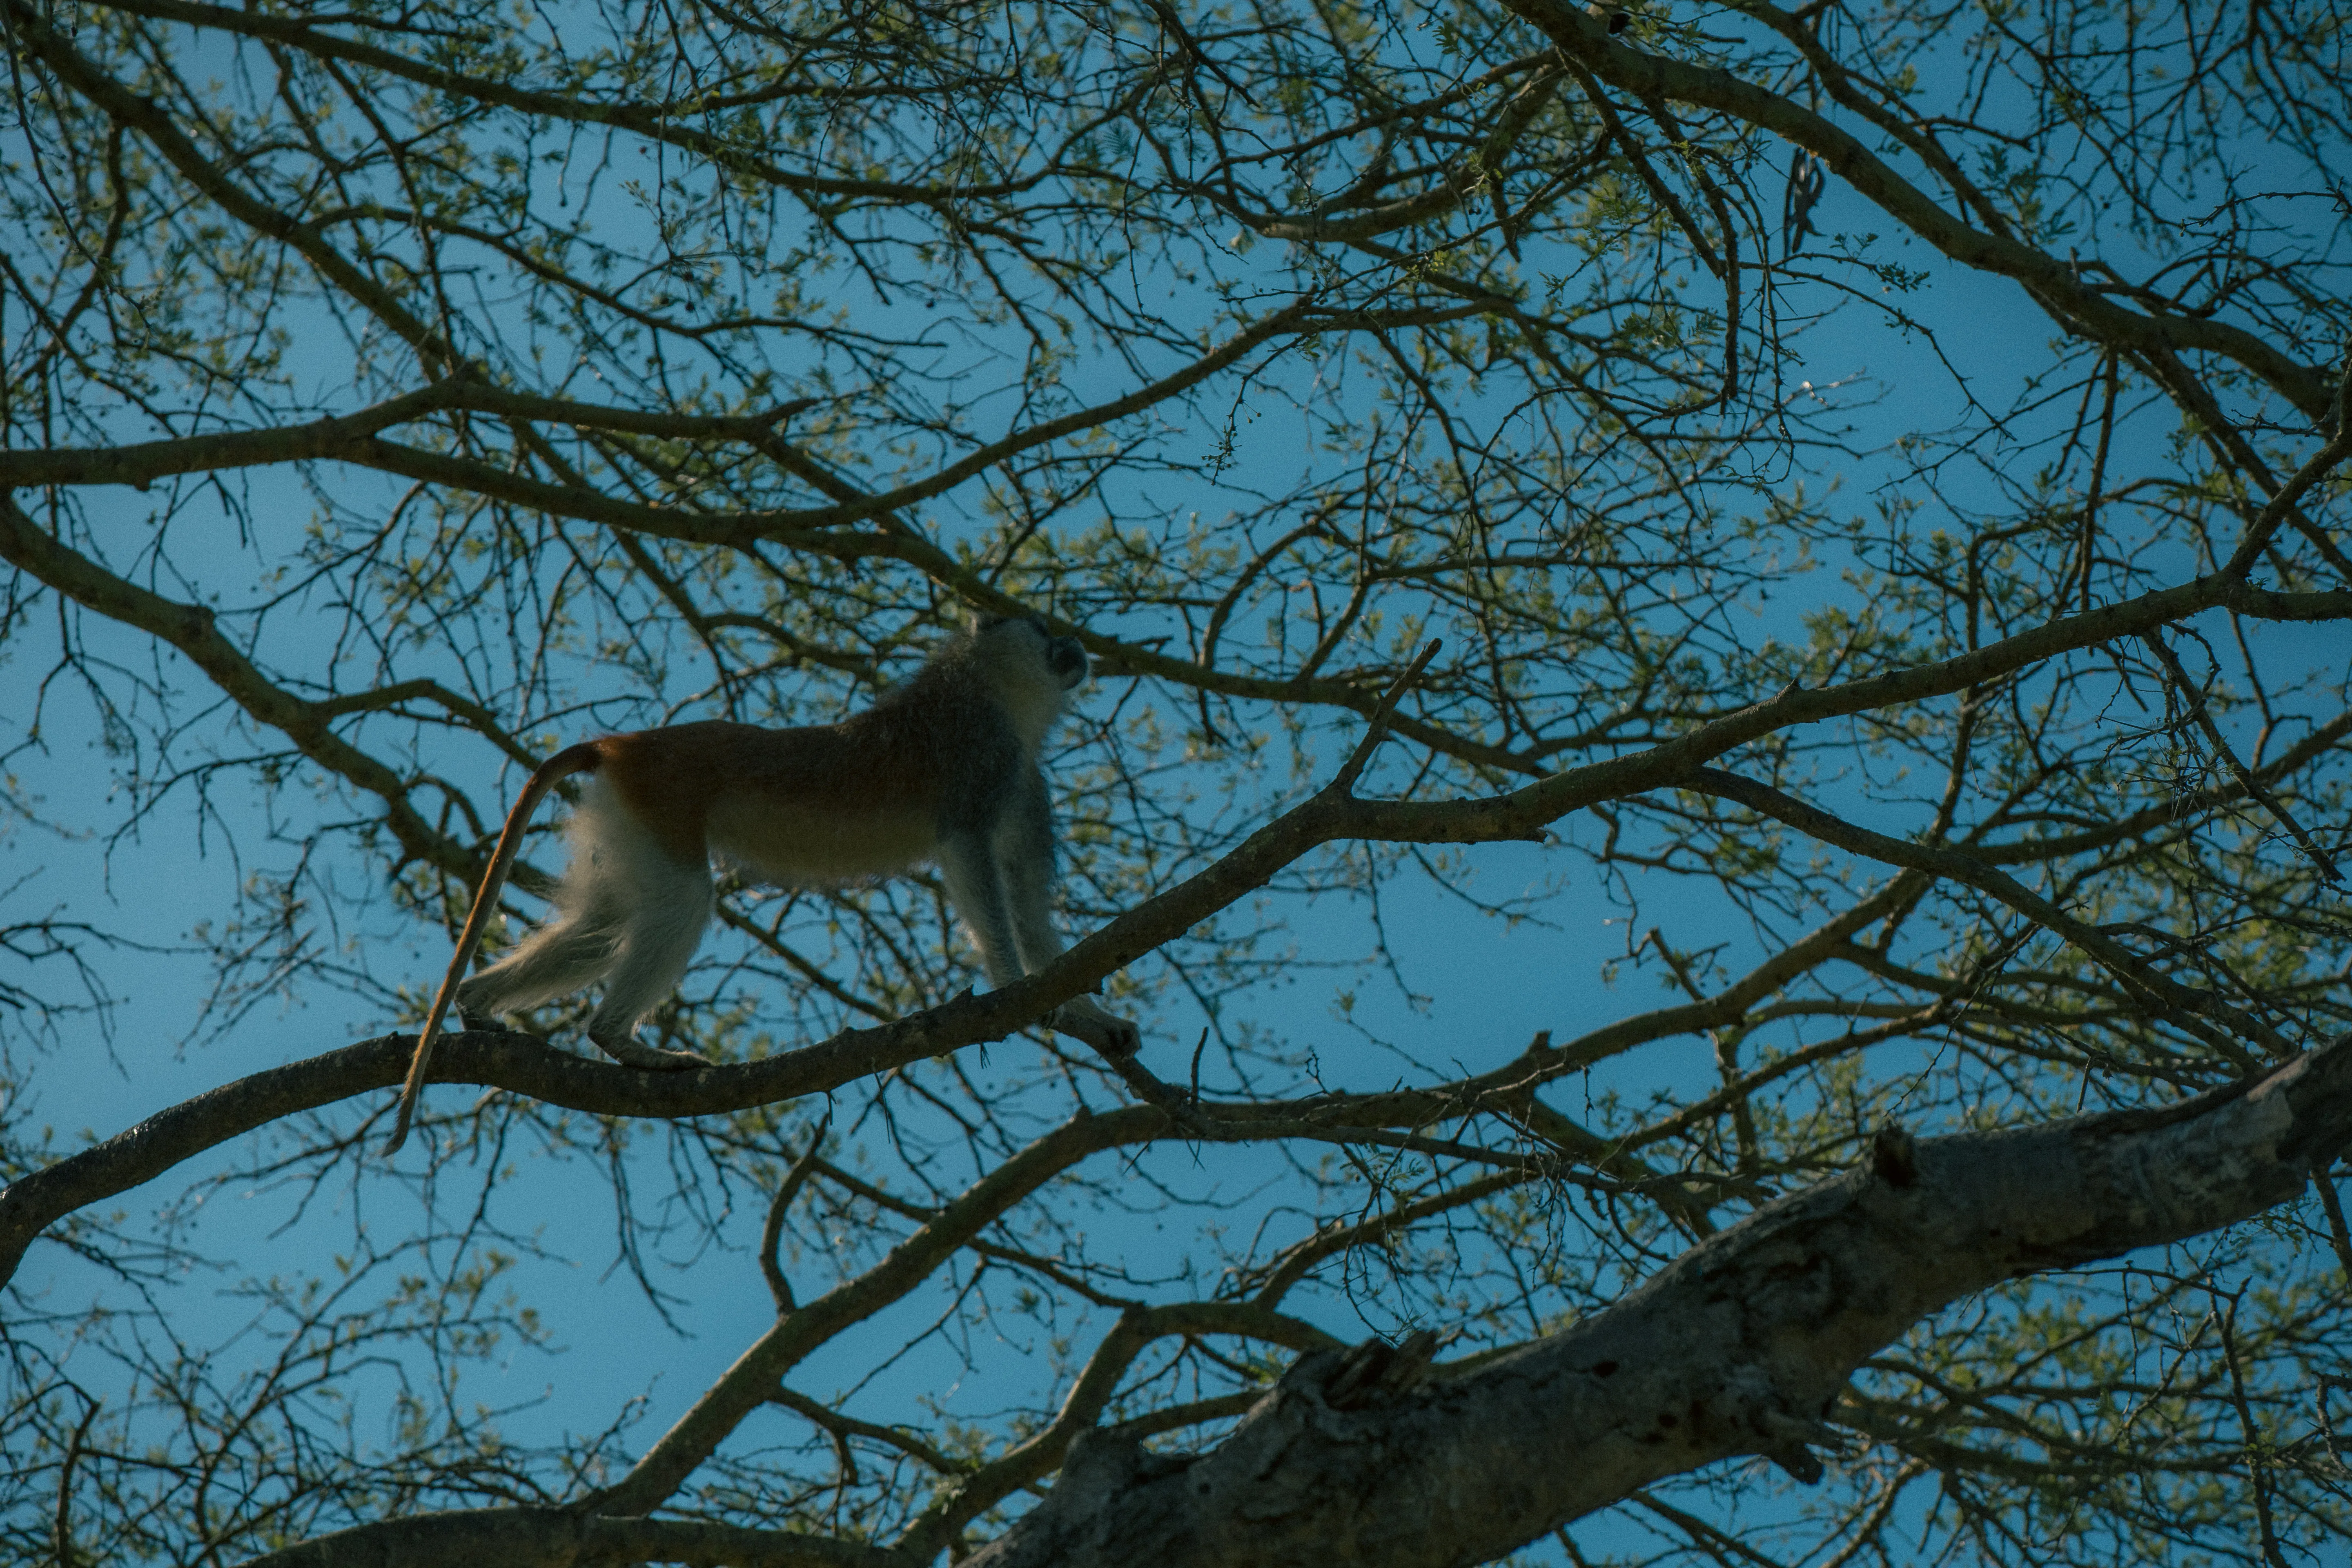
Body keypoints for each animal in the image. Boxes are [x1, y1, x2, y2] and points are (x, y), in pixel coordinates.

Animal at [390, 611, 1143, 1152]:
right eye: (1040, 628)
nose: (1074, 644)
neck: (987, 691)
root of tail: (619, 746)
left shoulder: (1024, 786)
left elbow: (1028, 903)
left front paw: (1090, 1018)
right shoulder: (980, 759)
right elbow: (974, 865)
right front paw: (1017, 990)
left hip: (628, 815)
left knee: (605, 924)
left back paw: (482, 1004)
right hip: (661, 800)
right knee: (684, 901)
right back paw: (621, 1041)